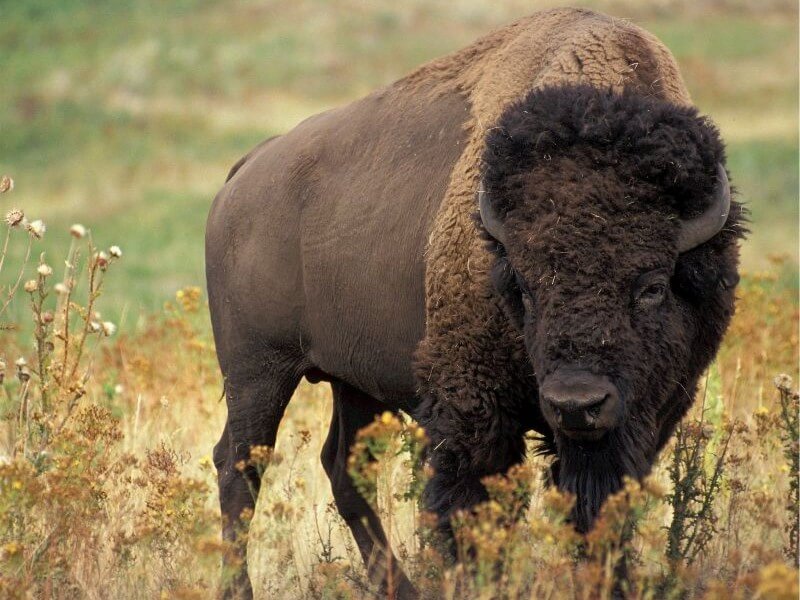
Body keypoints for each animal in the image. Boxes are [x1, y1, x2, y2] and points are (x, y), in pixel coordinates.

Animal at [205, 7, 745, 598]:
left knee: (342, 467)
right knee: (240, 468)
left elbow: (600, 509)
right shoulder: (472, 407)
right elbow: (472, 507)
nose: (575, 403)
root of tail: (246, 171)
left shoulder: (643, 417)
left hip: (353, 380)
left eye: (652, 286)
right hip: (258, 371)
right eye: (524, 287)